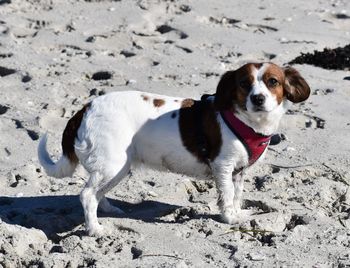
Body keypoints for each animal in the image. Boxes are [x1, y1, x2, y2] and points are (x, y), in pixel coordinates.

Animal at [38, 62, 310, 234]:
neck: (245, 120)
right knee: (86, 195)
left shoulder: (238, 171)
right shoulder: (223, 167)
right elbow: (226, 196)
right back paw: (94, 229)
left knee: (97, 194)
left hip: (117, 168)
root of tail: (86, 108)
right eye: (244, 84)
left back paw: (107, 210)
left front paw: (237, 213)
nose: (258, 98)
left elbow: (237, 195)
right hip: (112, 165)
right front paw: (229, 218)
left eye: (272, 82)